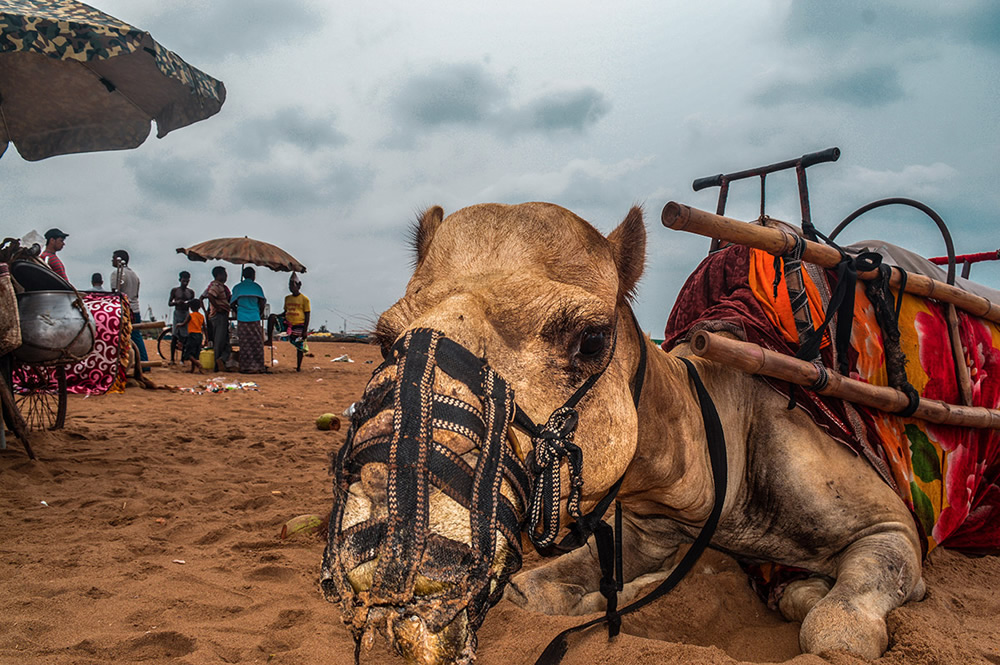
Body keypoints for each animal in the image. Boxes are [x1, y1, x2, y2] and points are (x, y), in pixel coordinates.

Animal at [320, 204, 920, 664]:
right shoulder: (651, 525)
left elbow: (838, 629)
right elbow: (530, 592)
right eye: (384, 340)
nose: (391, 512)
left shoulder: (891, 526)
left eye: (590, 339)